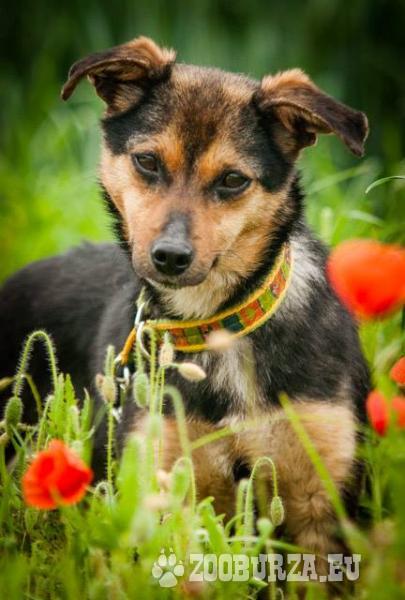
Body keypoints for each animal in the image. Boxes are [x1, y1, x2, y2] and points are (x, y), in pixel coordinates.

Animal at [0, 37, 370, 563]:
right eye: (148, 162)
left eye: (233, 180)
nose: (170, 257)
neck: (219, 325)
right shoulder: (166, 494)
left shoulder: (322, 511)